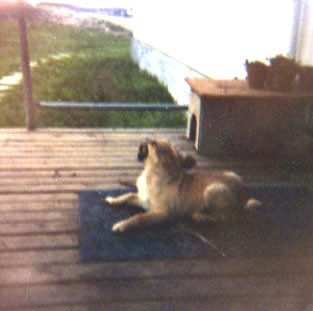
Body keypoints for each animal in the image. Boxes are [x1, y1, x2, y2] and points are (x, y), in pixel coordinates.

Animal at [106, 139, 260, 232]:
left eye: (154, 145)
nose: (147, 138)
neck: (151, 174)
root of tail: (245, 197)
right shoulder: (142, 199)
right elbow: (128, 195)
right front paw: (113, 200)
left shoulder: (162, 213)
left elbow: (140, 217)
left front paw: (122, 225)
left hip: (212, 190)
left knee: (226, 218)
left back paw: (201, 216)